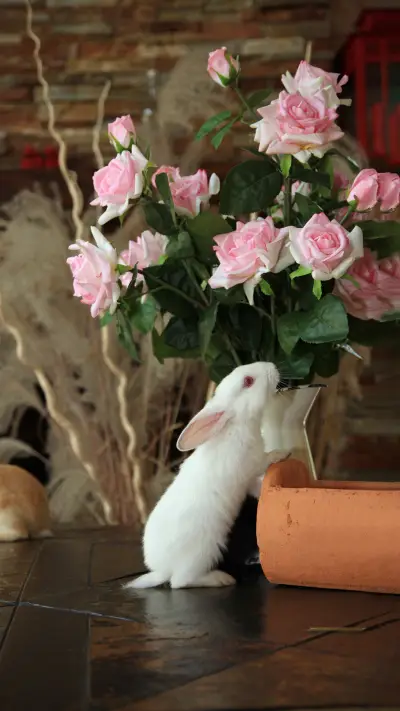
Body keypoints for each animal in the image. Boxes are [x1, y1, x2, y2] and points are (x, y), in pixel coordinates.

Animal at [126, 362, 289, 590]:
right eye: (248, 381)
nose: (272, 366)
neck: (236, 424)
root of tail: (162, 570)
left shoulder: (247, 481)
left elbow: (256, 487)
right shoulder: (252, 463)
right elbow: (267, 459)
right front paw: (283, 452)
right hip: (204, 553)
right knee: (180, 582)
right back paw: (221, 579)